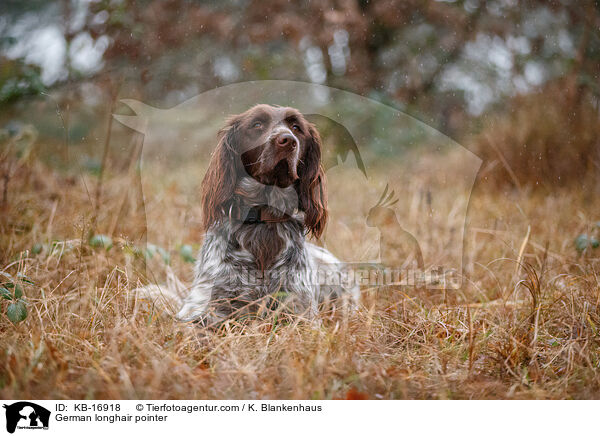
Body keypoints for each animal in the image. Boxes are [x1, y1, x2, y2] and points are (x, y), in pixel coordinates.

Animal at [176, 104, 358, 324]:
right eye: (257, 124)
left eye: (296, 127)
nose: (287, 140)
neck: (264, 218)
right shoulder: (201, 309)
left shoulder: (301, 312)